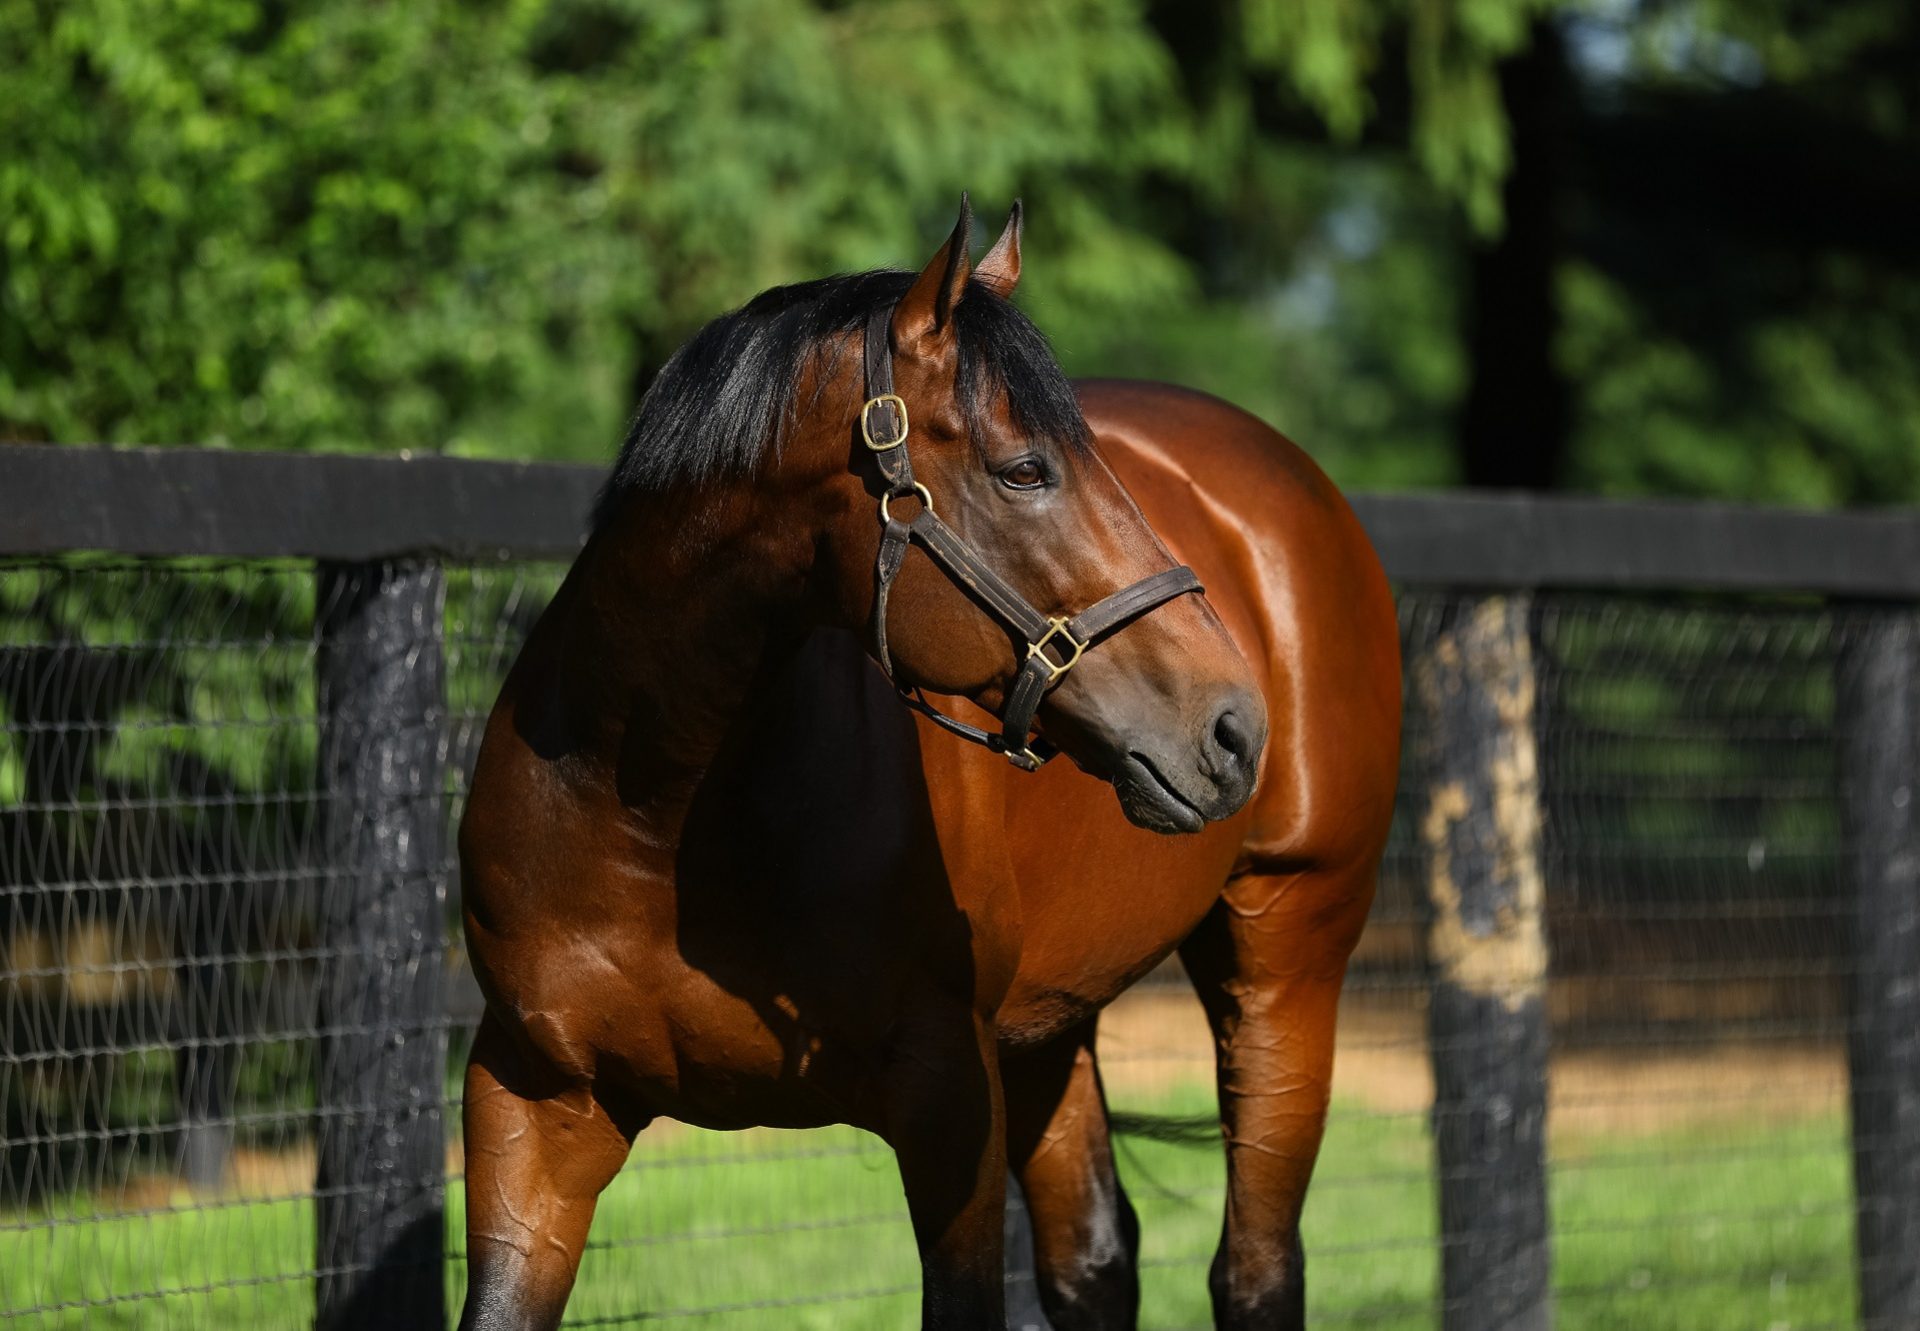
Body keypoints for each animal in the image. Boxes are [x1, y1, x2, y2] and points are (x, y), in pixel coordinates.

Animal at [456, 196, 1405, 1329]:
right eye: (1024, 468)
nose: (1232, 725)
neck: (648, 813)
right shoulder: (532, 1106)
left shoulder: (951, 1102)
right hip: (1052, 1026)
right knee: (1095, 1257)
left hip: (1287, 956)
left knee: (1256, 1266)